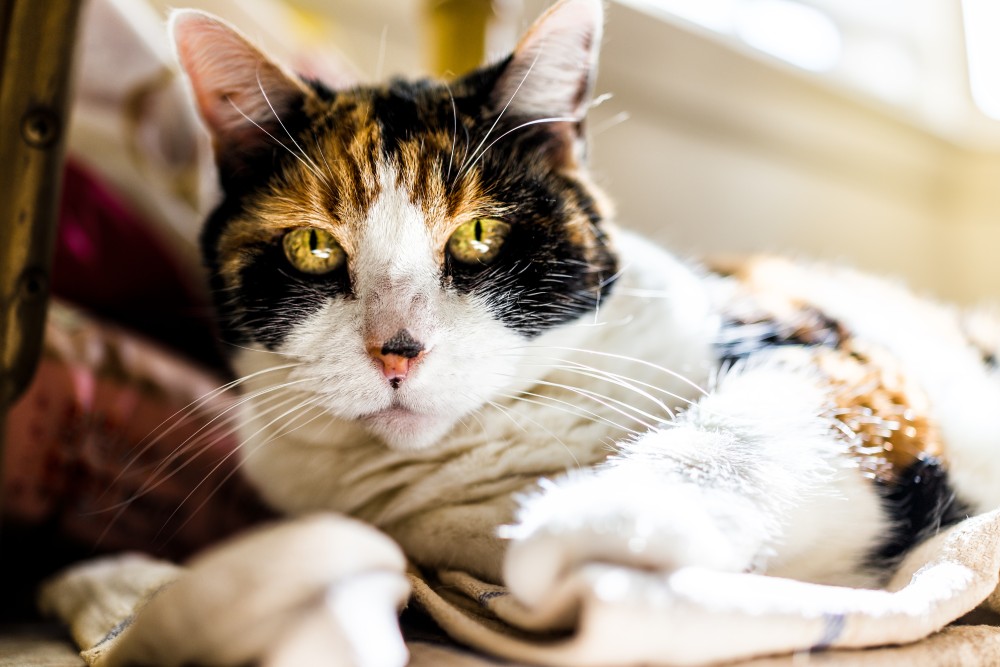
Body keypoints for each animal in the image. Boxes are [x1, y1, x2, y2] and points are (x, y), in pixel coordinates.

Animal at [172, 0, 1000, 612]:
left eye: (479, 233)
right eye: (312, 245)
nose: (398, 350)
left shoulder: (835, 356)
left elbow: (731, 429)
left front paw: (592, 520)